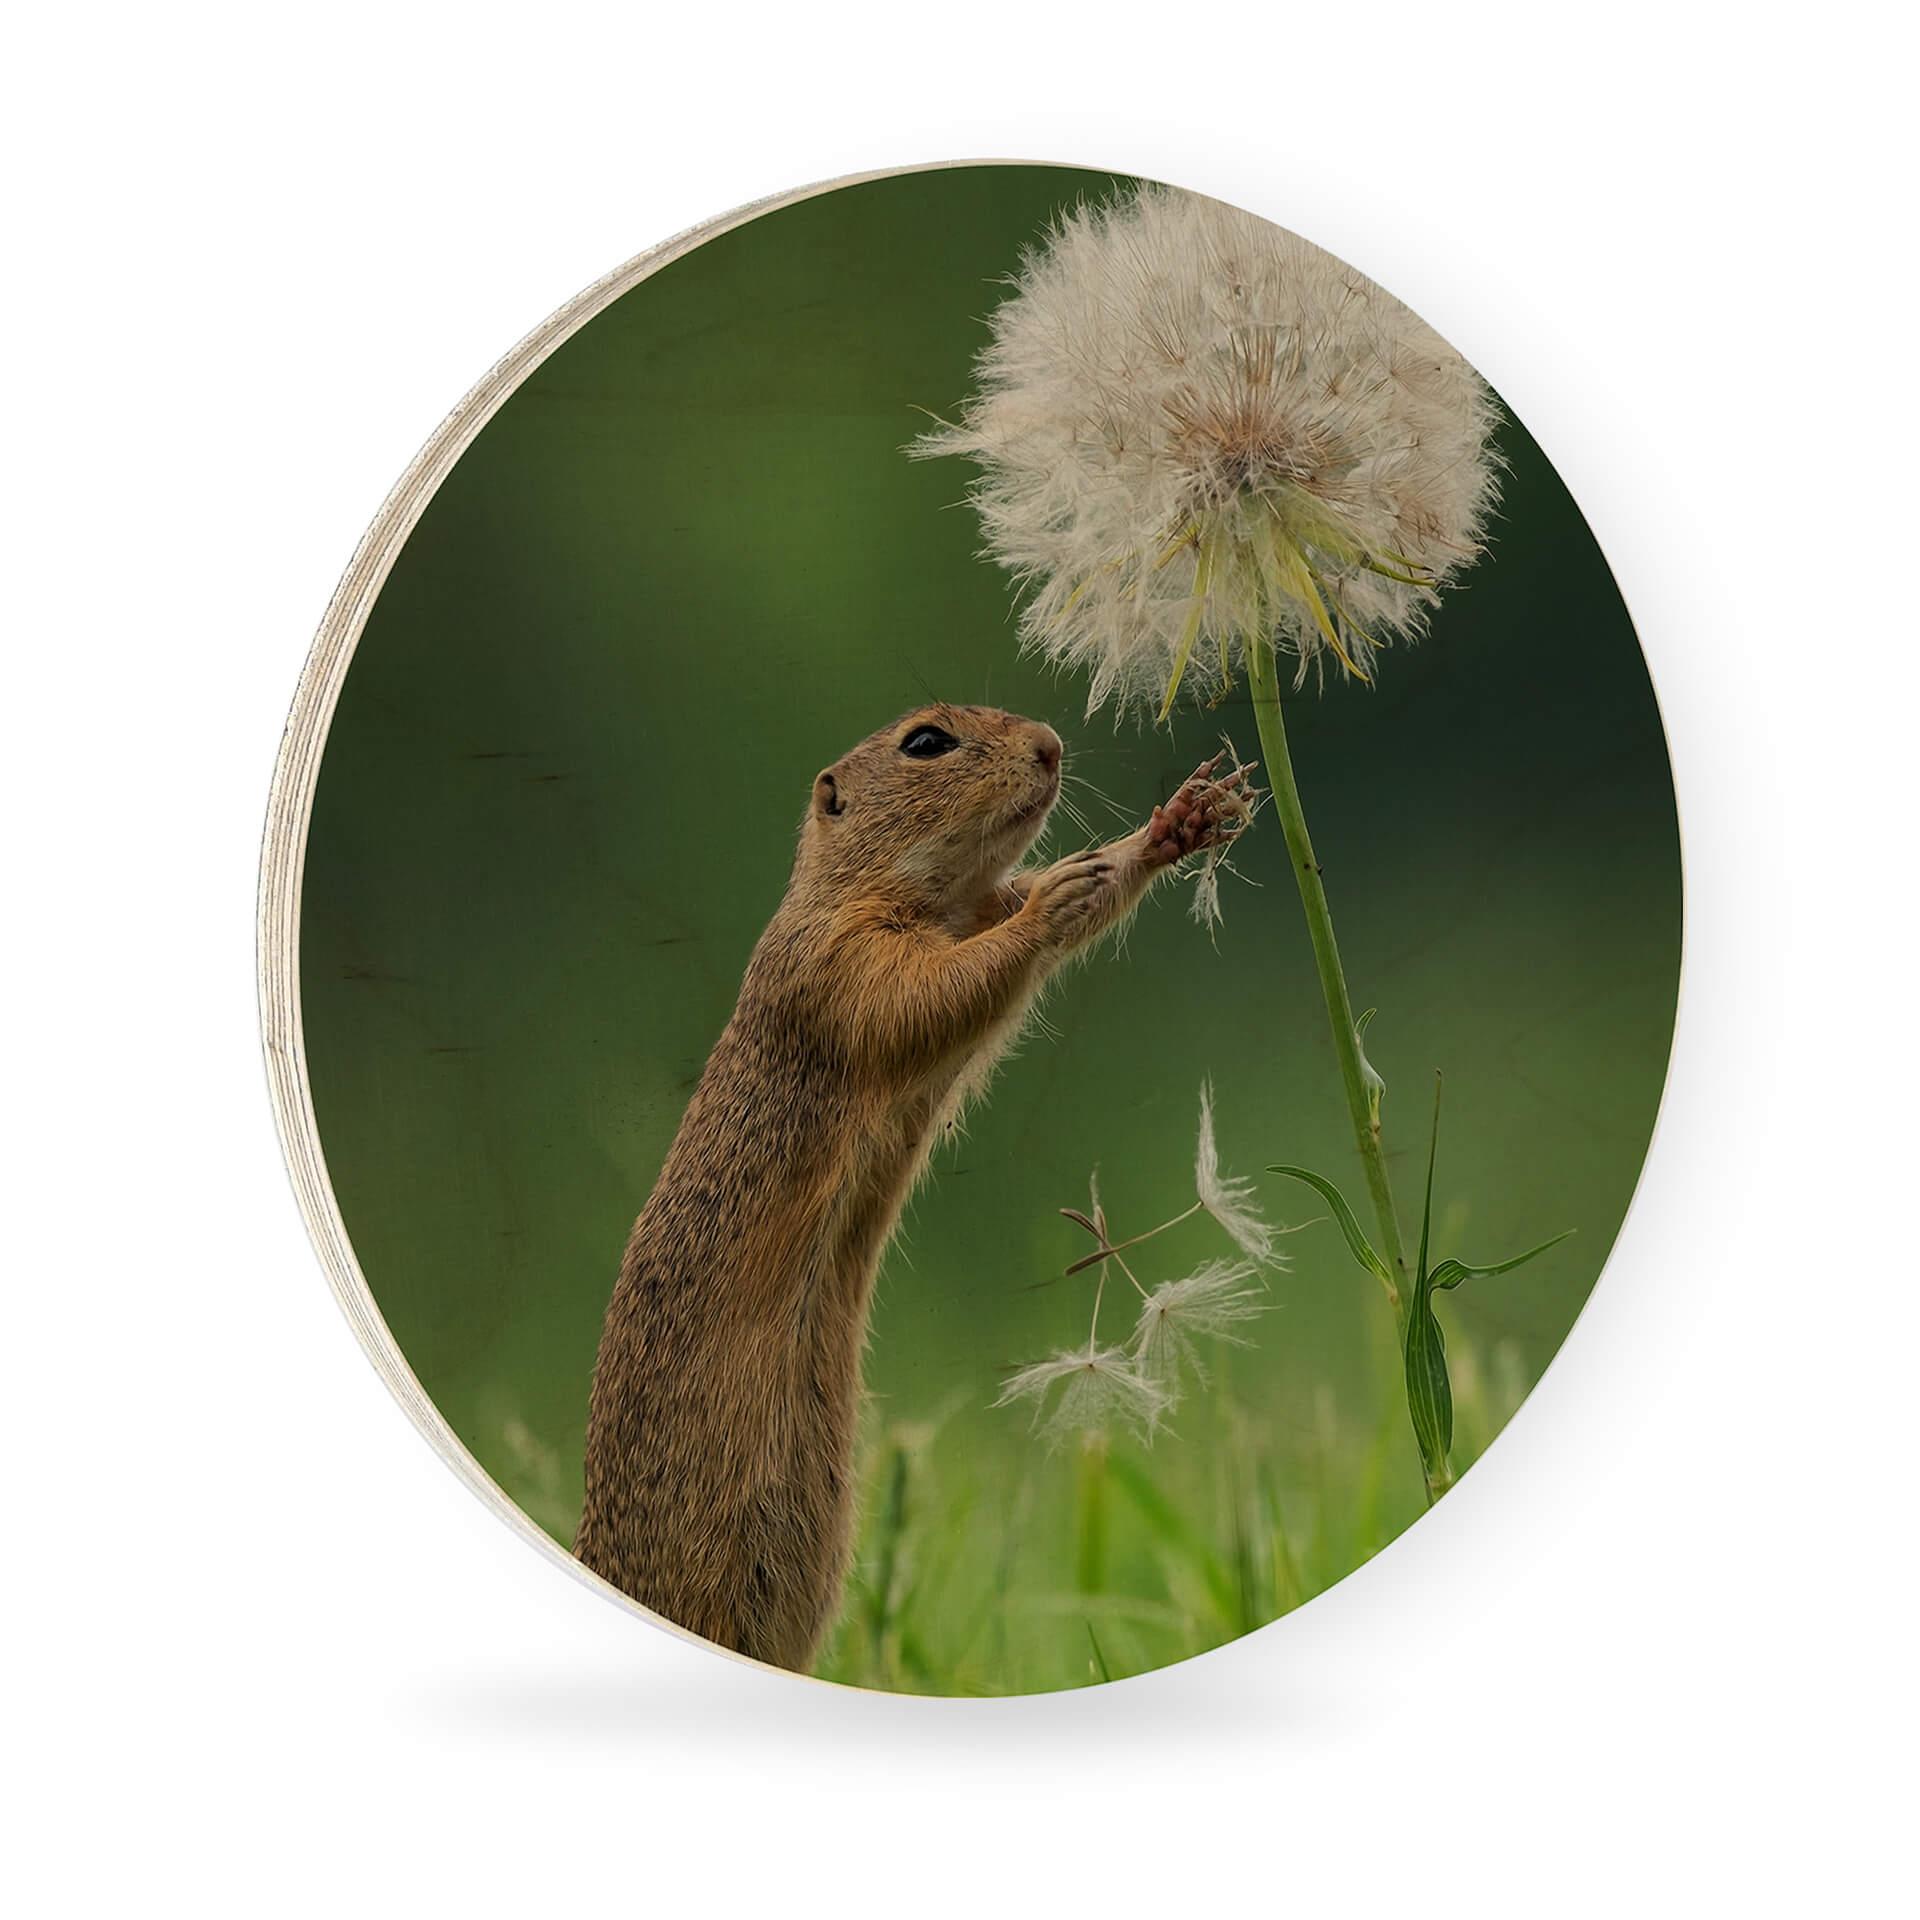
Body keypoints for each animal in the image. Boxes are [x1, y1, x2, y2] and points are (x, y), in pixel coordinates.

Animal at [573, 704, 1250, 1670]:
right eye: (925, 742)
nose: (1050, 744)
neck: (922, 897)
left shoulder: (965, 911)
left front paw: (1175, 825)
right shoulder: (841, 963)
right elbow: (930, 990)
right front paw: (1058, 898)